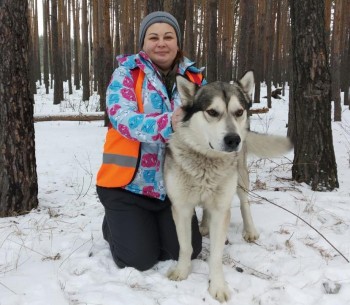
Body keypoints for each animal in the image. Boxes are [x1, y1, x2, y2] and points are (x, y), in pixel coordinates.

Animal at [164, 71, 292, 302]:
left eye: (239, 112)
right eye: (212, 112)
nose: (234, 139)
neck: (206, 163)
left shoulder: (220, 209)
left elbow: (215, 256)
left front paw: (218, 287)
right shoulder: (182, 208)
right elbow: (186, 246)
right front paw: (181, 272)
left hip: (240, 179)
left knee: (244, 203)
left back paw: (249, 230)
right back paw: (204, 225)